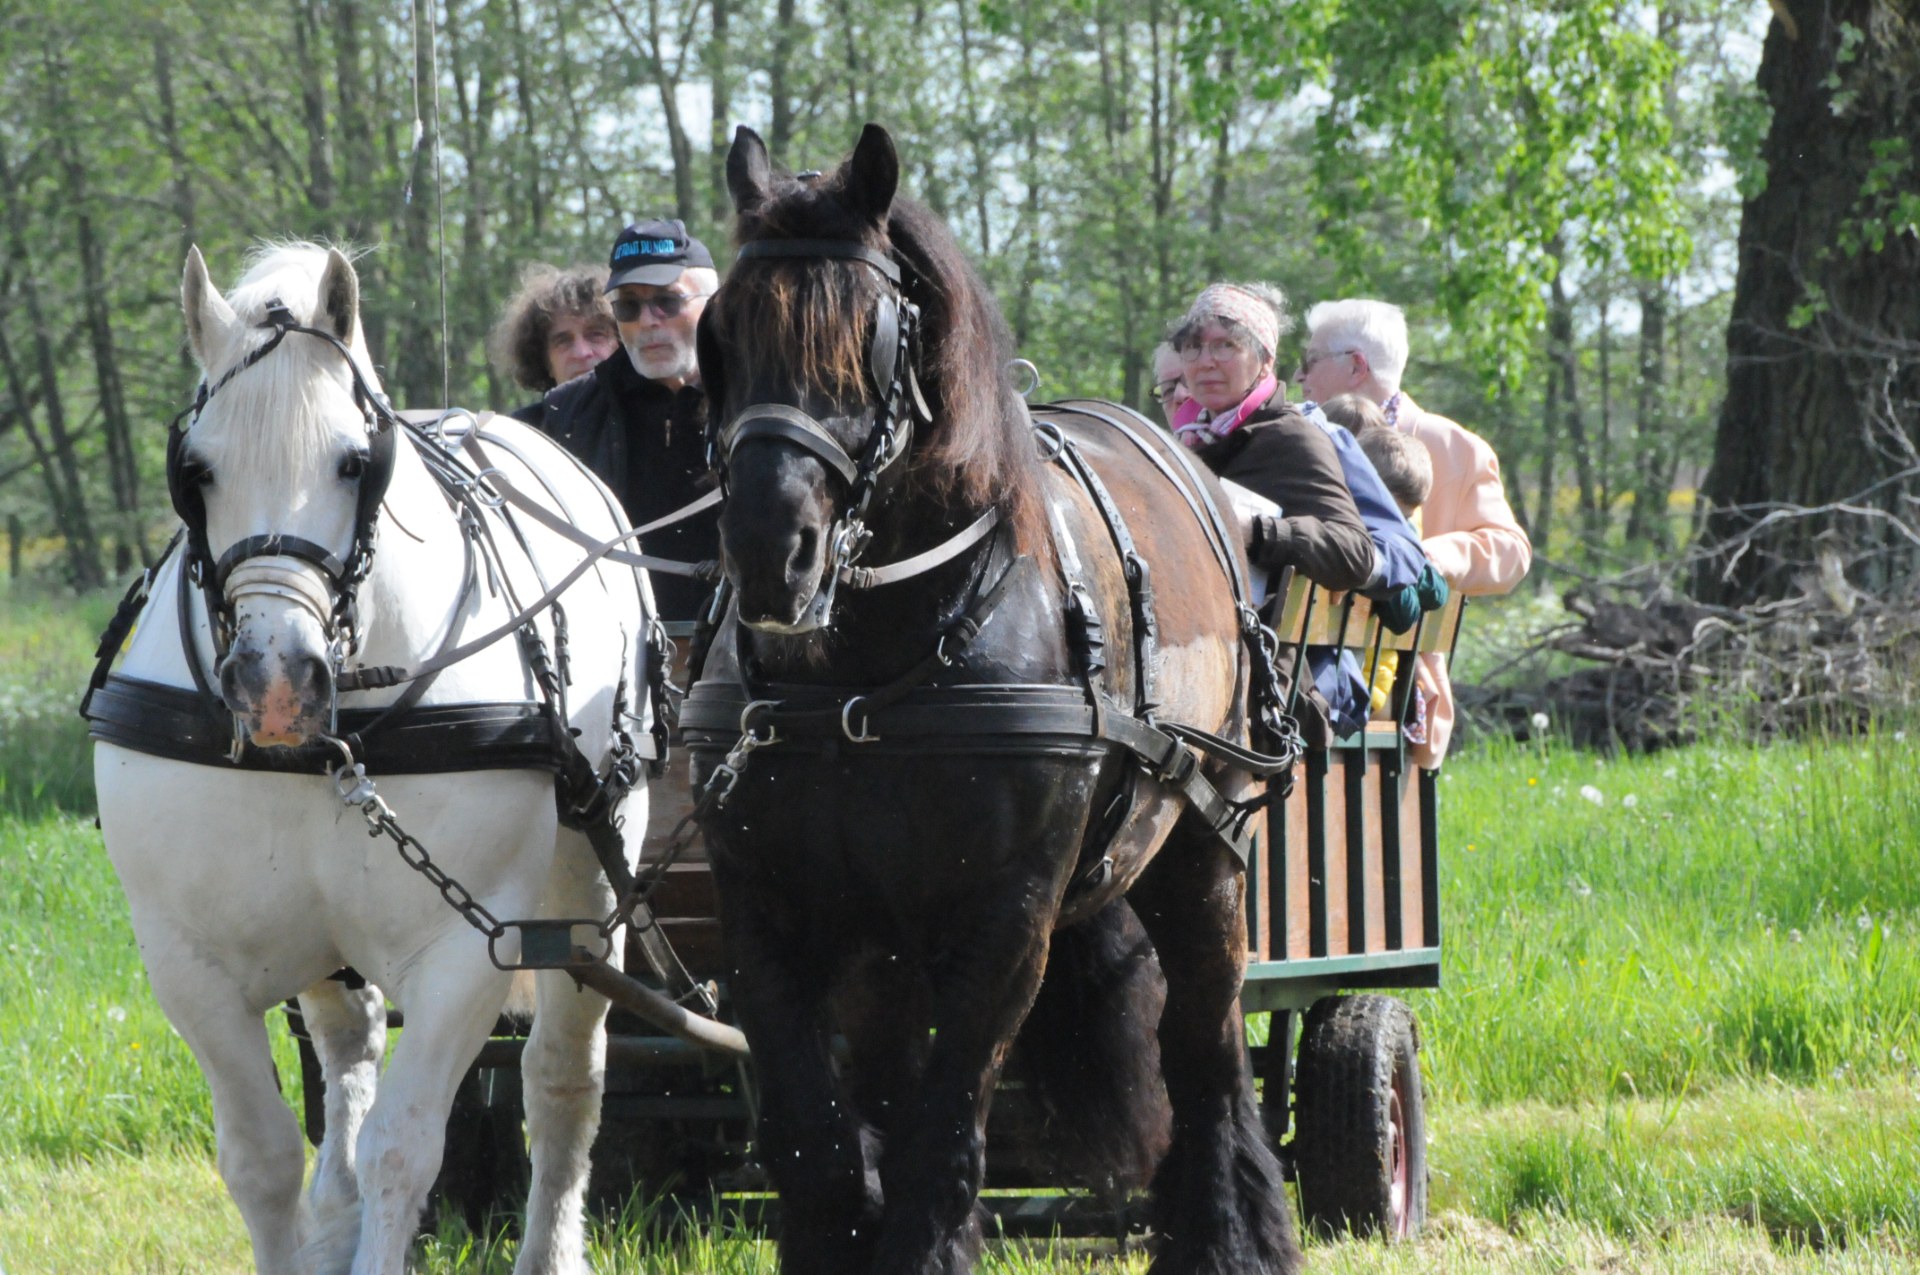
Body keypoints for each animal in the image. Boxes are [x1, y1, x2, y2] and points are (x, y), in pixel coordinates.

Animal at [93, 243, 652, 1267]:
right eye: (196, 469)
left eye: (355, 461)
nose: (275, 681)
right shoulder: (187, 960)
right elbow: (264, 1156)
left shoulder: (467, 949)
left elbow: (403, 1148)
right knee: (349, 1057)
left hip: (589, 887)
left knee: (561, 1080)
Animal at [683, 126, 1297, 1275]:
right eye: (722, 332)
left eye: (869, 335)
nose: (769, 551)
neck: (865, 677)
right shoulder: (769, 907)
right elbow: (813, 1129)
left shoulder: (1006, 915)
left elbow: (951, 1117)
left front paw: (928, 1243)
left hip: (1201, 846)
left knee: (1205, 1044)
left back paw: (1233, 1234)